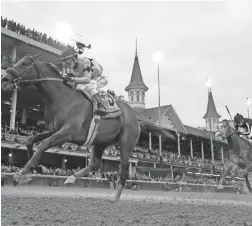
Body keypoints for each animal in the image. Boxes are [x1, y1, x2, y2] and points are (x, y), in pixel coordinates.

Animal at [1, 54, 175, 201]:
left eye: (24, 63)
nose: (4, 79)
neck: (63, 98)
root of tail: (136, 118)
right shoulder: (54, 130)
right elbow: (30, 140)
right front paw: (39, 169)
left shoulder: (67, 133)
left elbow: (43, 144)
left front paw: (21, 174)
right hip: (100, 141)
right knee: (96, 163)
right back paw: (71, 178)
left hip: (126, 143)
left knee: (124, 171)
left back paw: (115, 198)